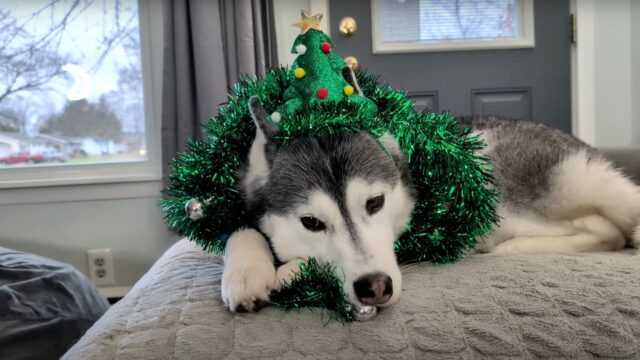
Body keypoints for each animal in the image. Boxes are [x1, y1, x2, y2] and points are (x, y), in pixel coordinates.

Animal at [218, 70, 636, 312]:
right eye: (311, 222)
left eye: (375, 202)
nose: (375, 288)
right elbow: (240, 229)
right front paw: (246, 272)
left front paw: (291, 269)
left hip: (506, 183)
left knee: (609, 228)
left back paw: (511, 248)